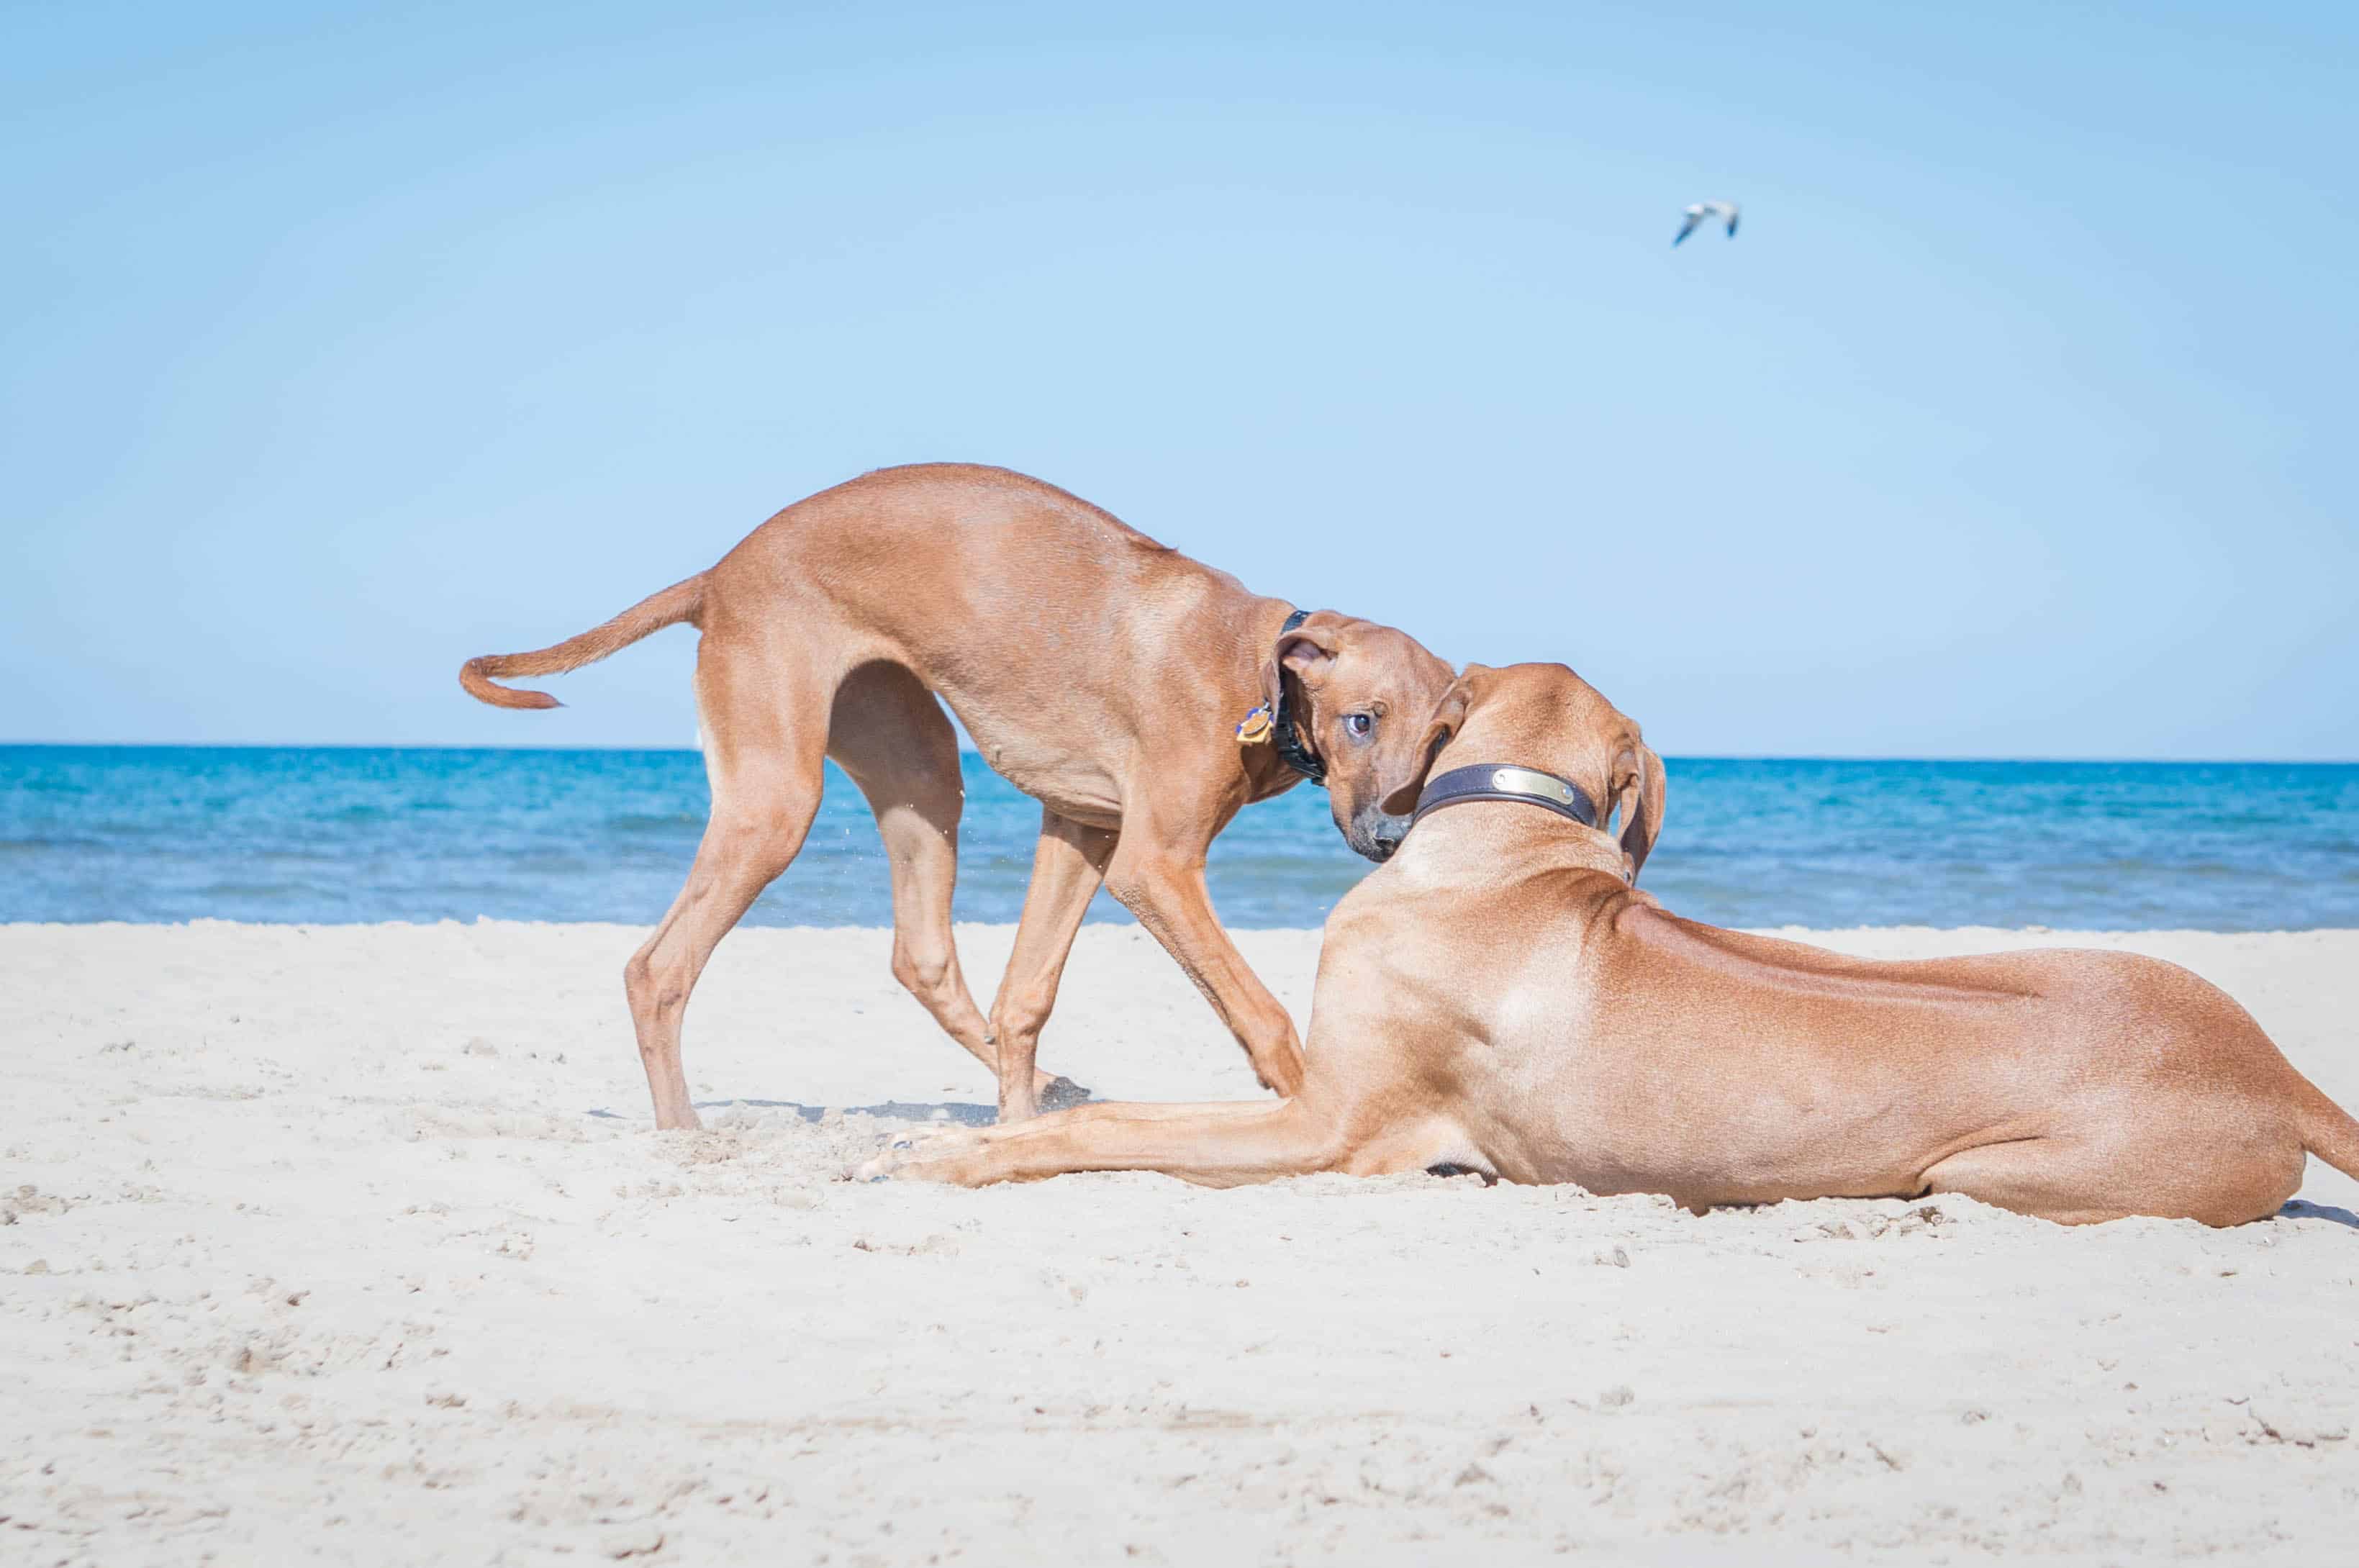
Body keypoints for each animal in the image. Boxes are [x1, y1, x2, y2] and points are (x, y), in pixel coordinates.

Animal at [460, 462, 1453, 1127]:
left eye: (1438, 739)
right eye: (1361, 721)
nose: (1389, 839)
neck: (1253, 672)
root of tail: (718, 575)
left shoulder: (1083, 829)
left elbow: (1026, 995)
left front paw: (1017, 1119)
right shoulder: (1154, 864)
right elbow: (1261, 1008)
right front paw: (1313, 1101)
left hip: (921, 771)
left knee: (923, 956)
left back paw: (1046, 1089)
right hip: (775, 800)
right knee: (657, 968)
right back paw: (683, 1132)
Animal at [872, 660, 2359, 1225]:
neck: (1510, 828)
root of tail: (2276, 1073)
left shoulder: (1329, 1125)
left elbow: (1105, 1121)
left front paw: (960, 1152)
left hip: (1989, 1175)